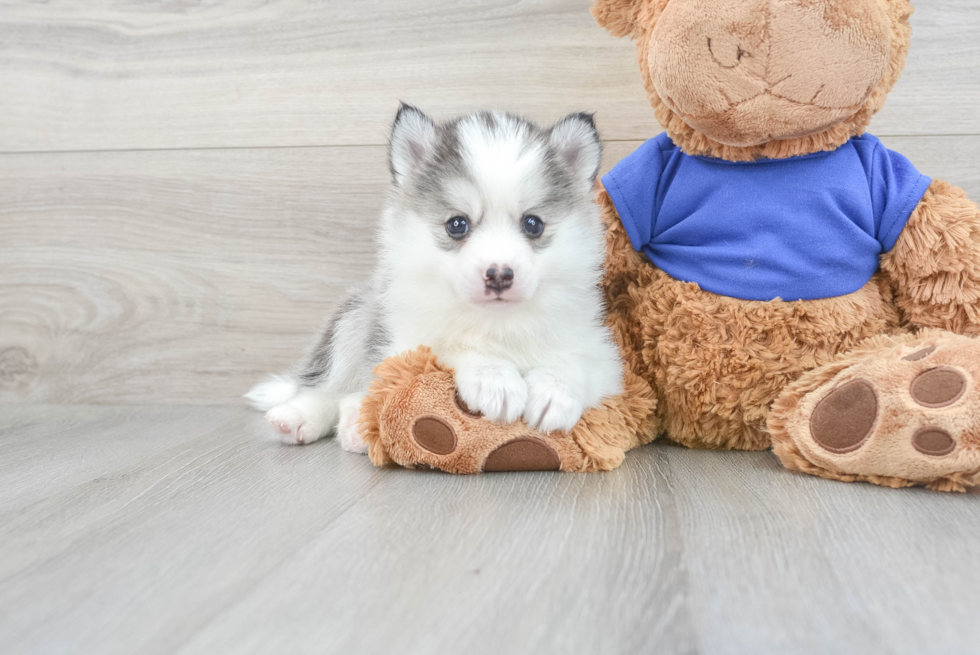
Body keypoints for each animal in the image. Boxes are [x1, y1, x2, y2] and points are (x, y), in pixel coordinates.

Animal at [249, 104, 624, 452]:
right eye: (457, 225)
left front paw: (553, 393)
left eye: (533, 224)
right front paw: (495, 379)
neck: (498, 323)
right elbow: (455, 343)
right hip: (356, 317)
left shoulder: (603, 354)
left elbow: (576, 361)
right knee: (331, 385)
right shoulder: (406, 342)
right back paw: (301, 417)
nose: (499, 275)